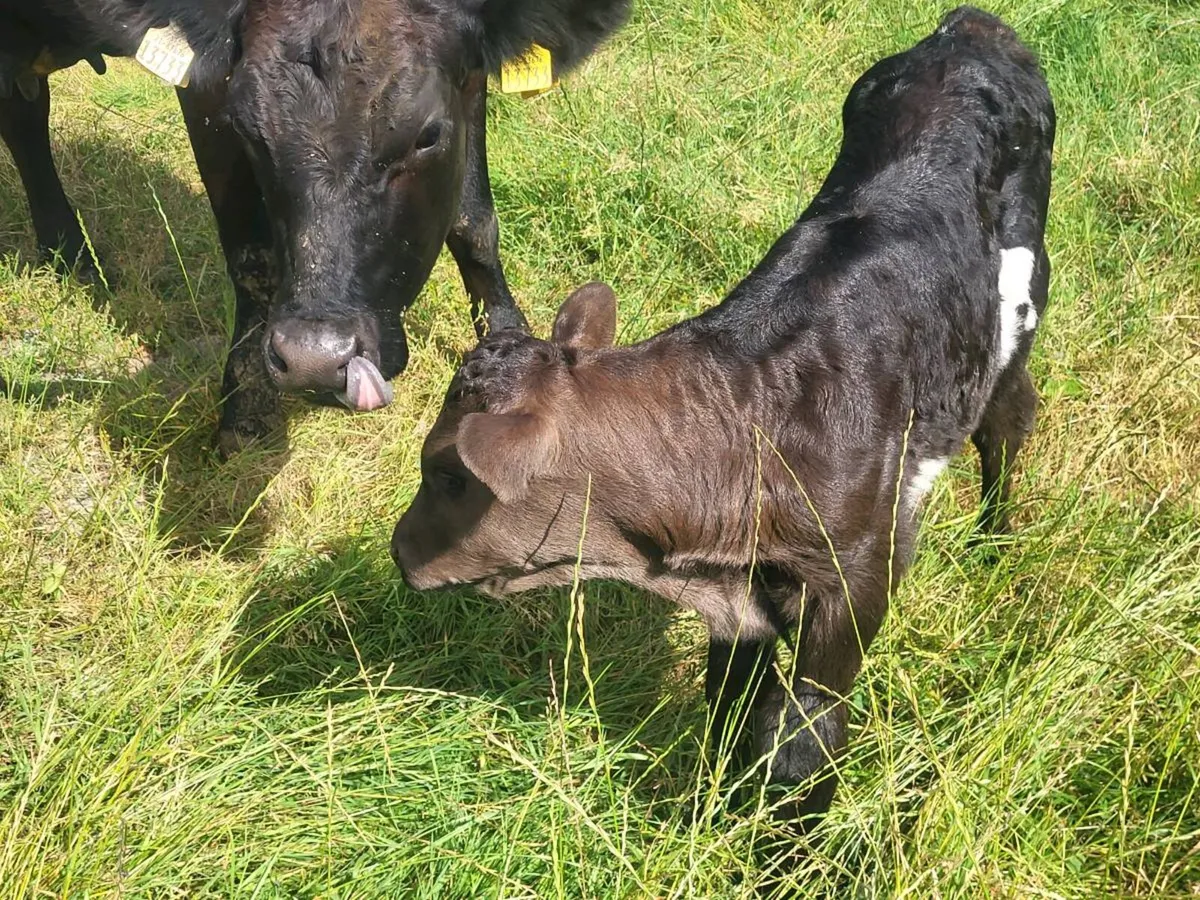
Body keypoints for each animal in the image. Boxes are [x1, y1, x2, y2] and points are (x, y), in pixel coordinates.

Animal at [0, 0, 630, 453]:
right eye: (246, 128)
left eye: (427, 134)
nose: (315, 358)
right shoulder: (207, 89)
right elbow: (252, 256)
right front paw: (246, 410)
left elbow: (475, 220)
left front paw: (508, 342)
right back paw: (70, 253)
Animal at [391, 6, 1055, 828]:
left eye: (446, 473)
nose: (398, 549)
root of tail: (972, 29)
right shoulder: (740, 603)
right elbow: (735, 711)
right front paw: (715, 813)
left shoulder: (858, 579)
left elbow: (805, 738)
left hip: (1013, 325)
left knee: (1007, 422)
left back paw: (996, 538)